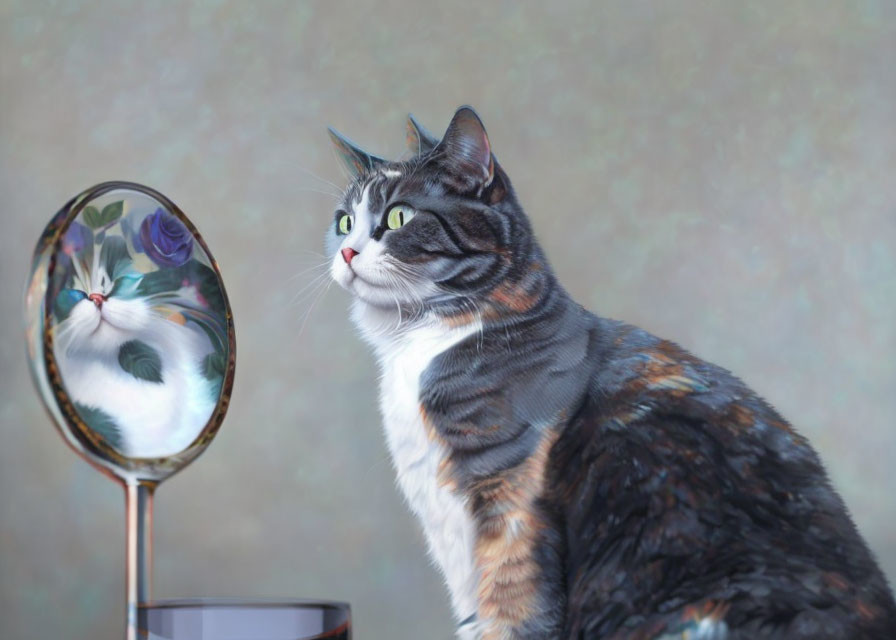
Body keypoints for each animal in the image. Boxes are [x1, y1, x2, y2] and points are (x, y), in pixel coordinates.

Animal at [324, 107, 896, 636]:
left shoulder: (509, 505)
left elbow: (512, 610)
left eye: (399, 217)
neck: (414, 347)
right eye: (344, 221)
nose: (348, 251)